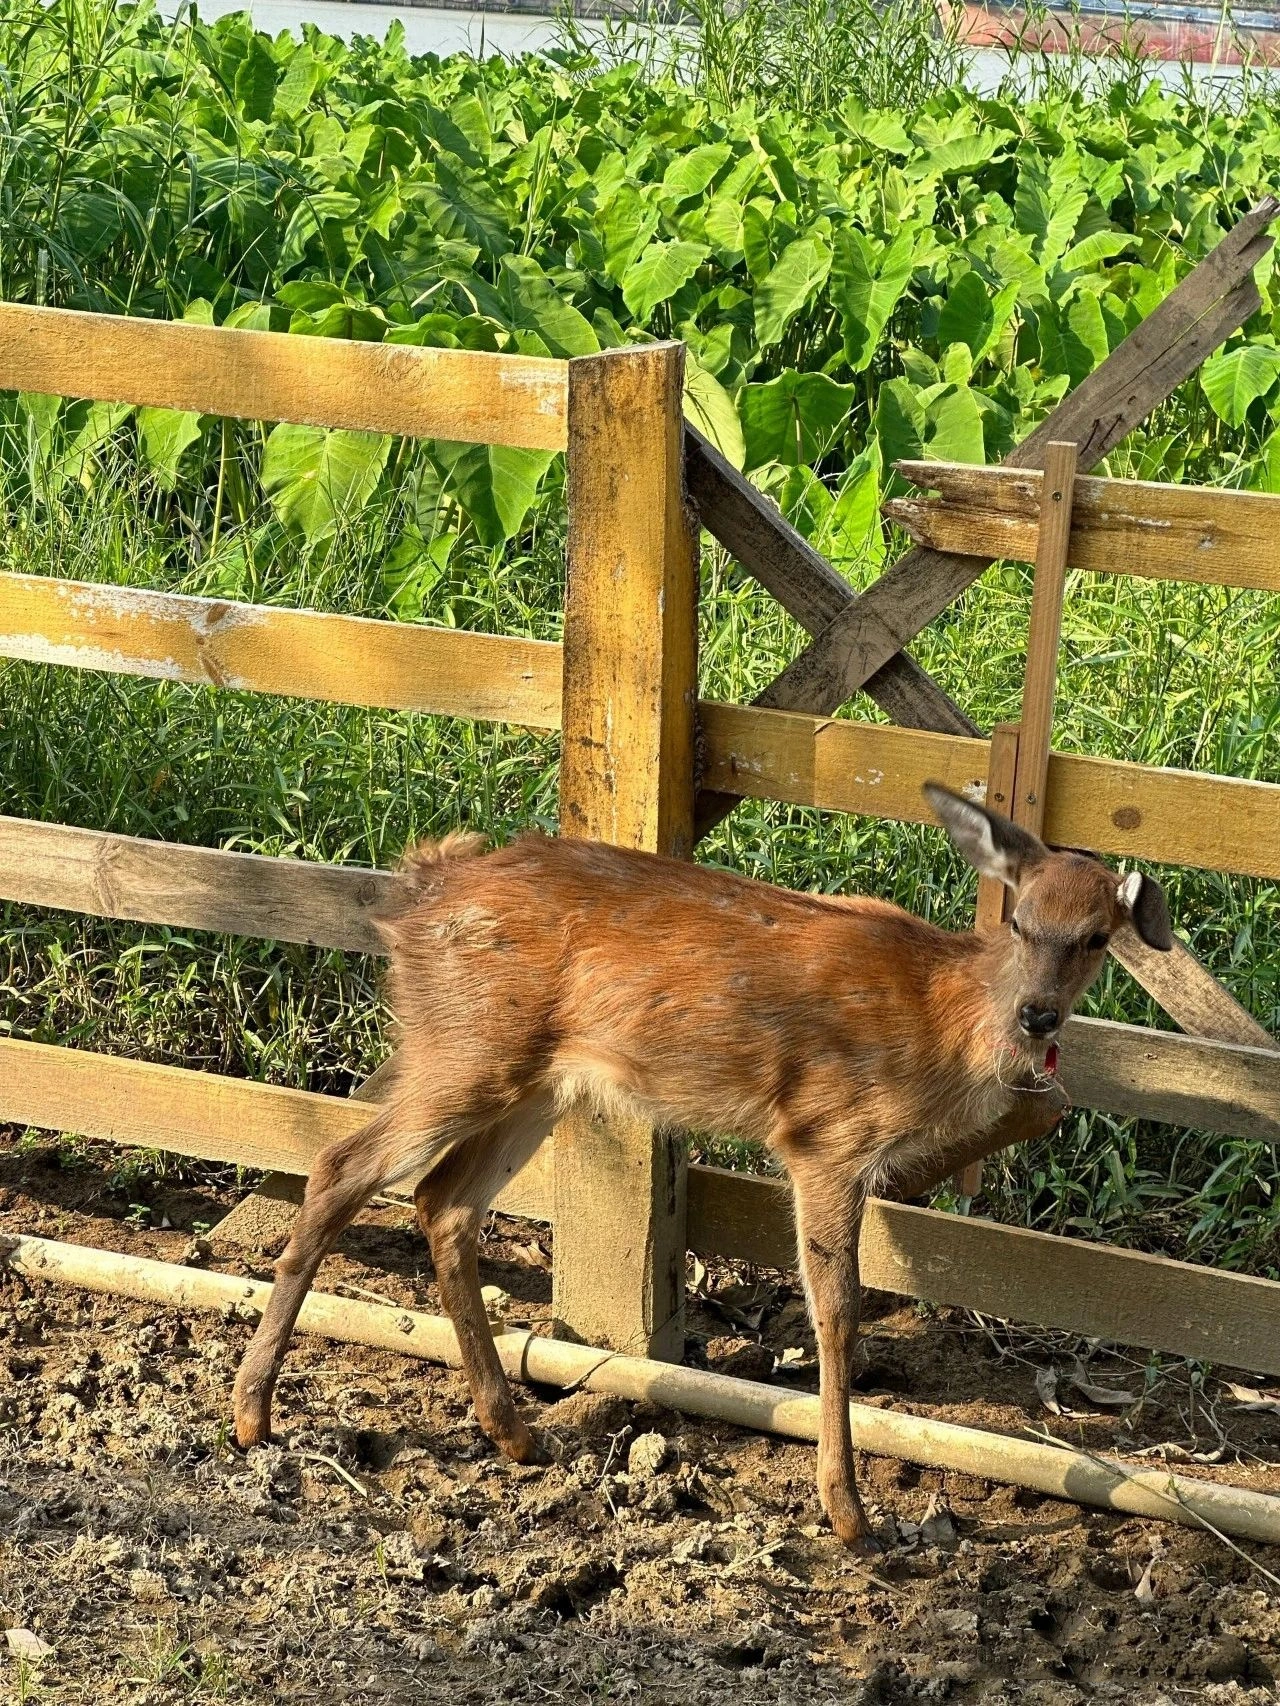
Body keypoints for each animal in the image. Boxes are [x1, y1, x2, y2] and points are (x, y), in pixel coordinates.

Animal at [235, 781, 1181, 1549]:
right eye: (1020, 920)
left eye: (1097, 937)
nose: (1037, 1015)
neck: (945, 1021)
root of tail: (418, 888)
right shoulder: (824, 1134)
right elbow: (836, 1314)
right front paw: (850, 1515)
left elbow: (1046, 1104)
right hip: (468, 1049)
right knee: (341, 1164)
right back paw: (251, 1413)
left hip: (537, 1079)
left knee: (443, 1201)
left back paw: (514, 1431)